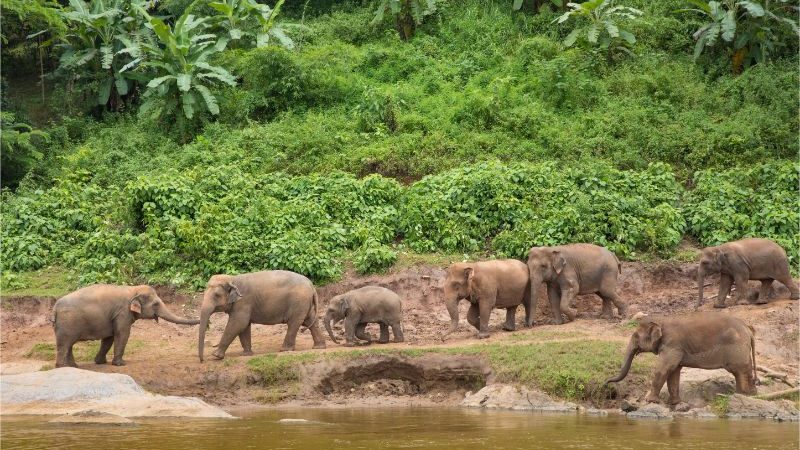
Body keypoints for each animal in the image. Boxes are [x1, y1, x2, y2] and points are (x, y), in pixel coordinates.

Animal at [51, 284, 198, 368]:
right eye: (156, 304)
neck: (132, 290)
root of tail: (55, 307)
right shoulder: (122, 313)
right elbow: (123, 334)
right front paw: (120, 364)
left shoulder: (112, 317)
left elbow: (109, 338)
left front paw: (100, 362)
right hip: (67, 324)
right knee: (65, 344)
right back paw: (62, 367)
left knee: (69, 344)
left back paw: (73, 366)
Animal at [198, 270, 326, 362]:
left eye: (217, 295)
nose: (202, 360)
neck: (233, 279)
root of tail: (312, 286)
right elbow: (244, 327)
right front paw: (246, 354)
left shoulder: (243, 302)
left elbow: (238, 324)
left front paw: (215, 356)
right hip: (305, 304)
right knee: (311, 322)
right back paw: (319, 347)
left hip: (298, 303)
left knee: (294, 323)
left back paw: (284, 350)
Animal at [608, 312, 756, 404]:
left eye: (635, 336)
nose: (606, 382)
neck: (662, 321)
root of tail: (748, 329)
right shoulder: (675, 348)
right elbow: (674, 372)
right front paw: (675, 403)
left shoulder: (672, 345)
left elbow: (664, 368)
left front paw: (650, 401)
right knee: (745, 370)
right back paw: (749, 394)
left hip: (737, 349)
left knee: (739, 371)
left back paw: (741, 395)